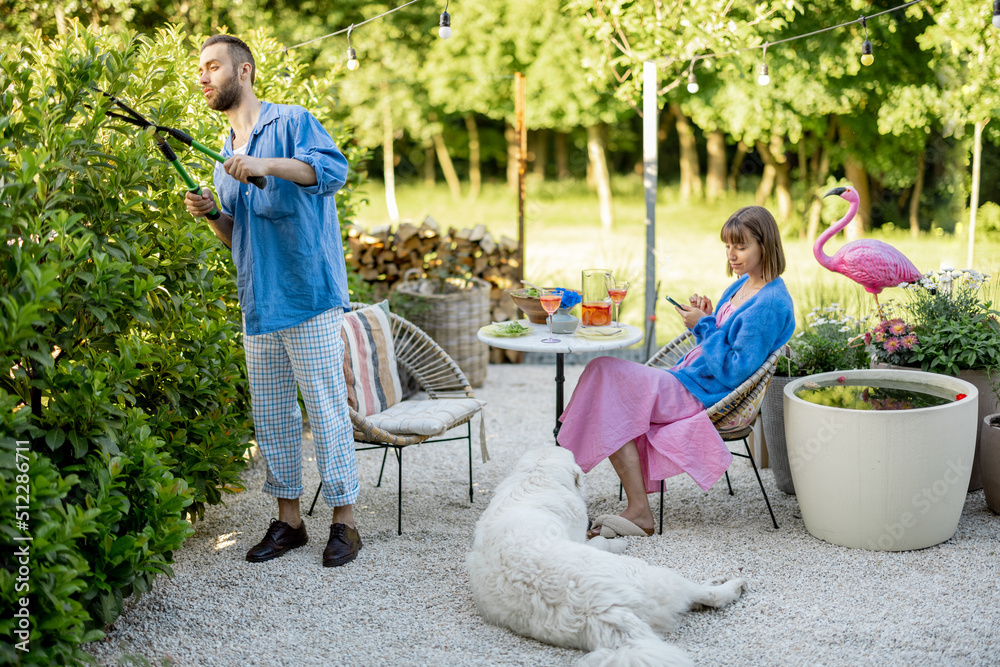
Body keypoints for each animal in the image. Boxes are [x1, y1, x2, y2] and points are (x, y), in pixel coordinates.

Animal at [464, 446, 748, 664]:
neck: (536, 478)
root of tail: (598, 609)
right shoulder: (582, 537)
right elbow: (601, 540)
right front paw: (617, 542)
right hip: (650, 573)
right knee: (707, 596)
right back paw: (731, 586)